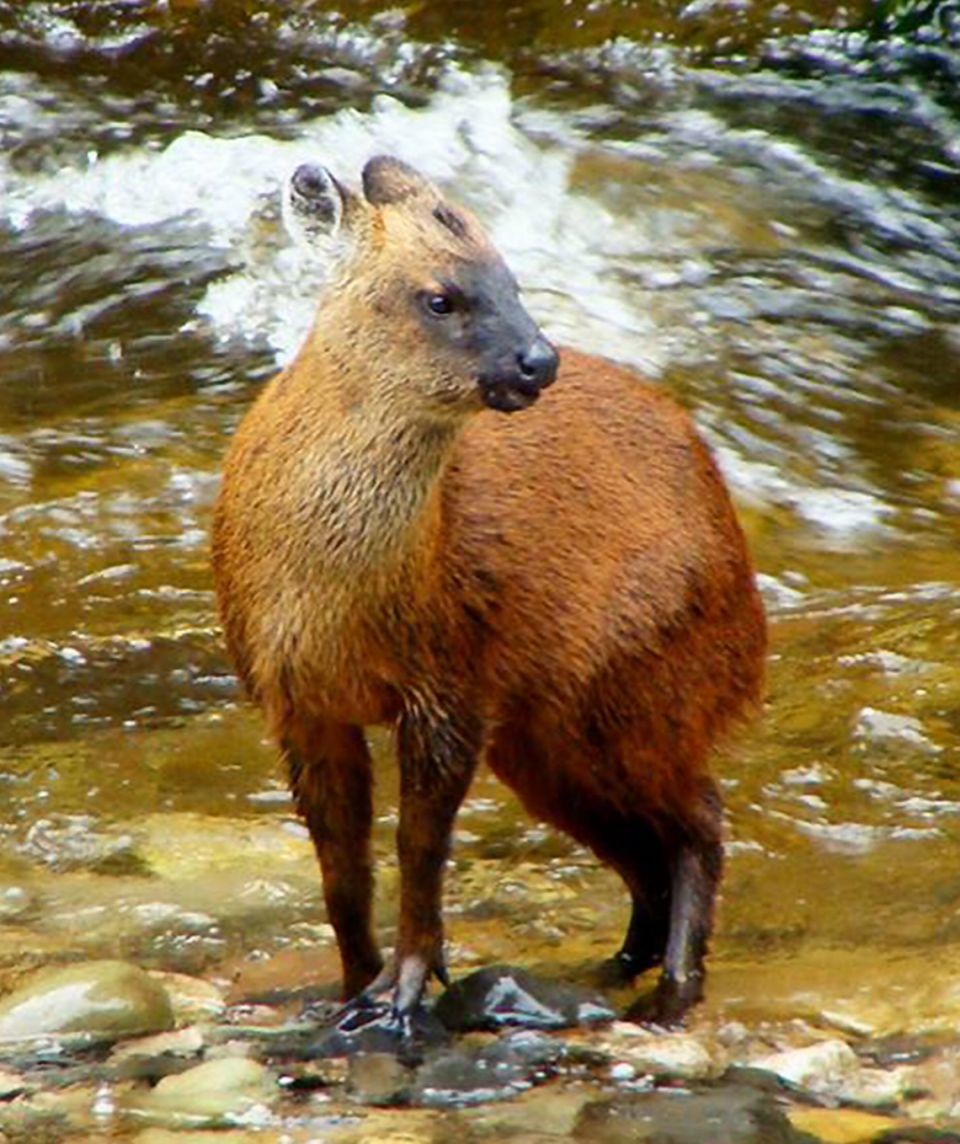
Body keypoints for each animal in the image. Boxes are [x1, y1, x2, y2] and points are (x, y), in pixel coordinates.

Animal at [211, 156, 764, 1043]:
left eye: (513, 277)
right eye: (441, 296)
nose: (539, 361)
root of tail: (752, 621)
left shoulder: (450, 683)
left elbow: (419, 849)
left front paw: (403, 991)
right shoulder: (293, 699)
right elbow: (340, 866)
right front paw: (350, 989)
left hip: (643, 688)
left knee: (702, 821)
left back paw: (671, 990)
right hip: (549, 739)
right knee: (646, 847)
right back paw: (617, 967)